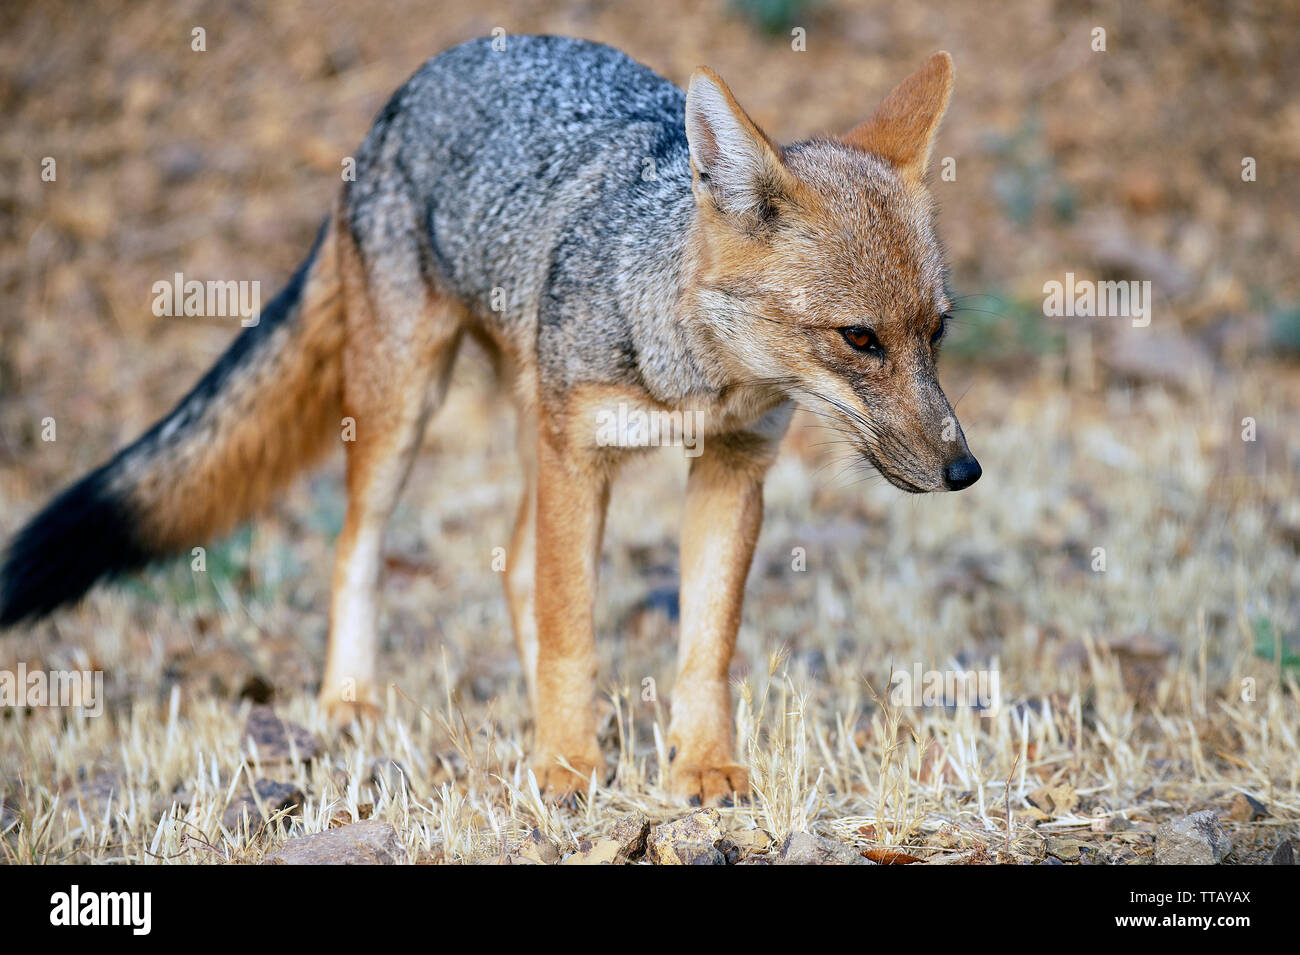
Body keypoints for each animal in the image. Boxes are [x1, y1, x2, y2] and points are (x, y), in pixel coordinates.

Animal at [0, 35, 979, 805]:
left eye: (936, 332)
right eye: (859, 339)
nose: (964, 471)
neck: (695, 375)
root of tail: (428, 74)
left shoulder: (732, 466)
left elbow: (705, 644)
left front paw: (701, 767)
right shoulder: (579, 456)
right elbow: (574, 627)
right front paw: (568, 764)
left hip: (524, 425)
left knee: (516, 567)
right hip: (408, 411)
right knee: (359, 545)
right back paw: (350, 702)